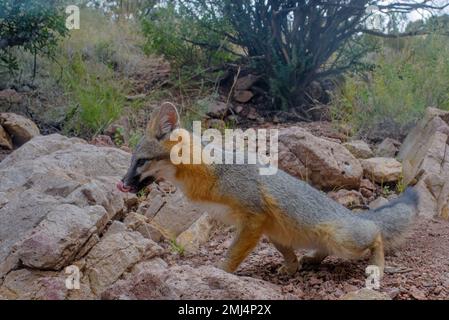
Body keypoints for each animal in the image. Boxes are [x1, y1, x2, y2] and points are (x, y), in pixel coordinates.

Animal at [117, 102, 418, 278]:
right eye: (132, 161)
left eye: (141, 161)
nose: (122, 182)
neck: (210, 172)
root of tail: (354, 215)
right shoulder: (261, 226)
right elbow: (284, 257)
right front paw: (291, 267)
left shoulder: (254, 218)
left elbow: (231, 256)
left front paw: (219, 273)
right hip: (279, 233)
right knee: (320, 251)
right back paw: (310, 260)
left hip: (342, 238)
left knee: (377, 234)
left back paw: (377, 268)